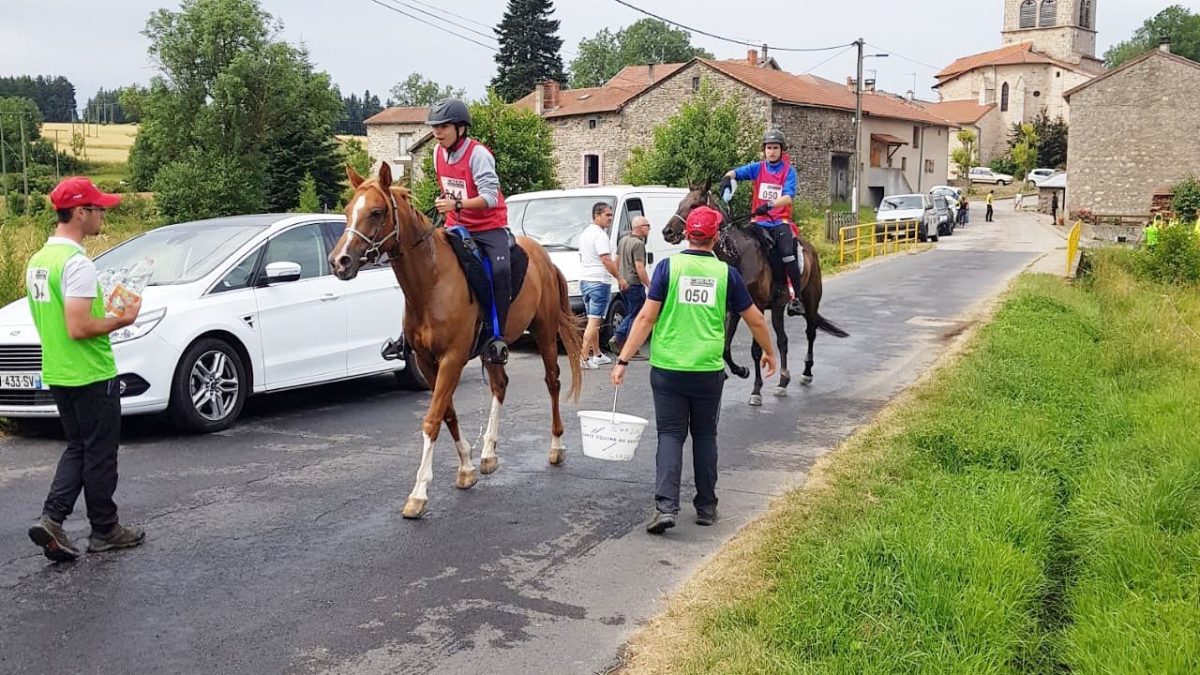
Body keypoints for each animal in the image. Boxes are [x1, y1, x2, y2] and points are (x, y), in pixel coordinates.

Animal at [331, 162, 583, 514]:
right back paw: (489, 453)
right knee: (500, 385)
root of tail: (544, 256)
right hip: (494, 350)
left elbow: (432, 419)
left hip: (545, 334)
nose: (340, 261)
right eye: (347, 210)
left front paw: (419, 493)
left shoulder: (452, 359)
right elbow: (447, 413)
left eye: (377, 212)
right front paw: (466, 466)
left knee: (553, 382)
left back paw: (557, 446)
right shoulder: (429, 363)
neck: (431, 283)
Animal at [662, 182, 849, 403]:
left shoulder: (757, 307)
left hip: (809, 302)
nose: (668, 231)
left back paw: (803, 373)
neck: (738, 255)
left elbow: (756, 350)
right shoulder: (733, 309)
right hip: (778, 307)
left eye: (695, 205)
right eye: (681, 203)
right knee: (783, 340)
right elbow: (725, 348)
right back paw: (784, 379)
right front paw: (740, 371)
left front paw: (756, 390)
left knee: (808, 333)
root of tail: (810, 248)